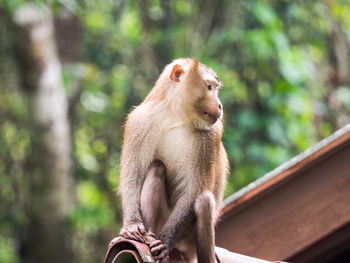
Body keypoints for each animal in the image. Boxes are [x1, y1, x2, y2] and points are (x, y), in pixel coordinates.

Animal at [119, 58, 230, 263]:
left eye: (215, 88)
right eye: (209, 87)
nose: (219, 105)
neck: (175, 117)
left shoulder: (210, 136)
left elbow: (194, 190)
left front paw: (165, 240)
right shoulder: (139, 122)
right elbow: (132, 177)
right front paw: (131, 224)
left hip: (188, 239)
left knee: (203, 201)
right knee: (156, 167)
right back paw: (149, 235)